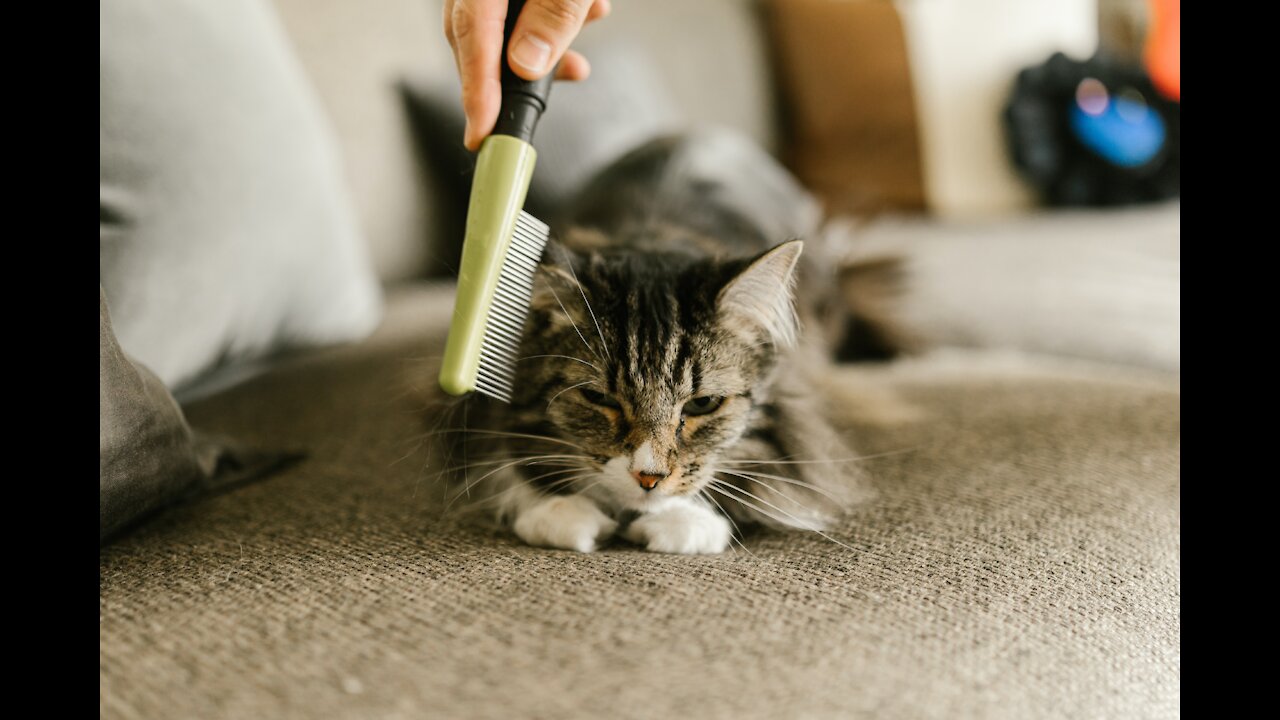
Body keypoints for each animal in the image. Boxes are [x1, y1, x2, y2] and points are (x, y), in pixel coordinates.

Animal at [445, 130, 906, 556]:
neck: (651, 237)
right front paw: (559, 511)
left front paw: (683, 521)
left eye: (703, 404)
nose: (648, 478)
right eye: (599, 398)